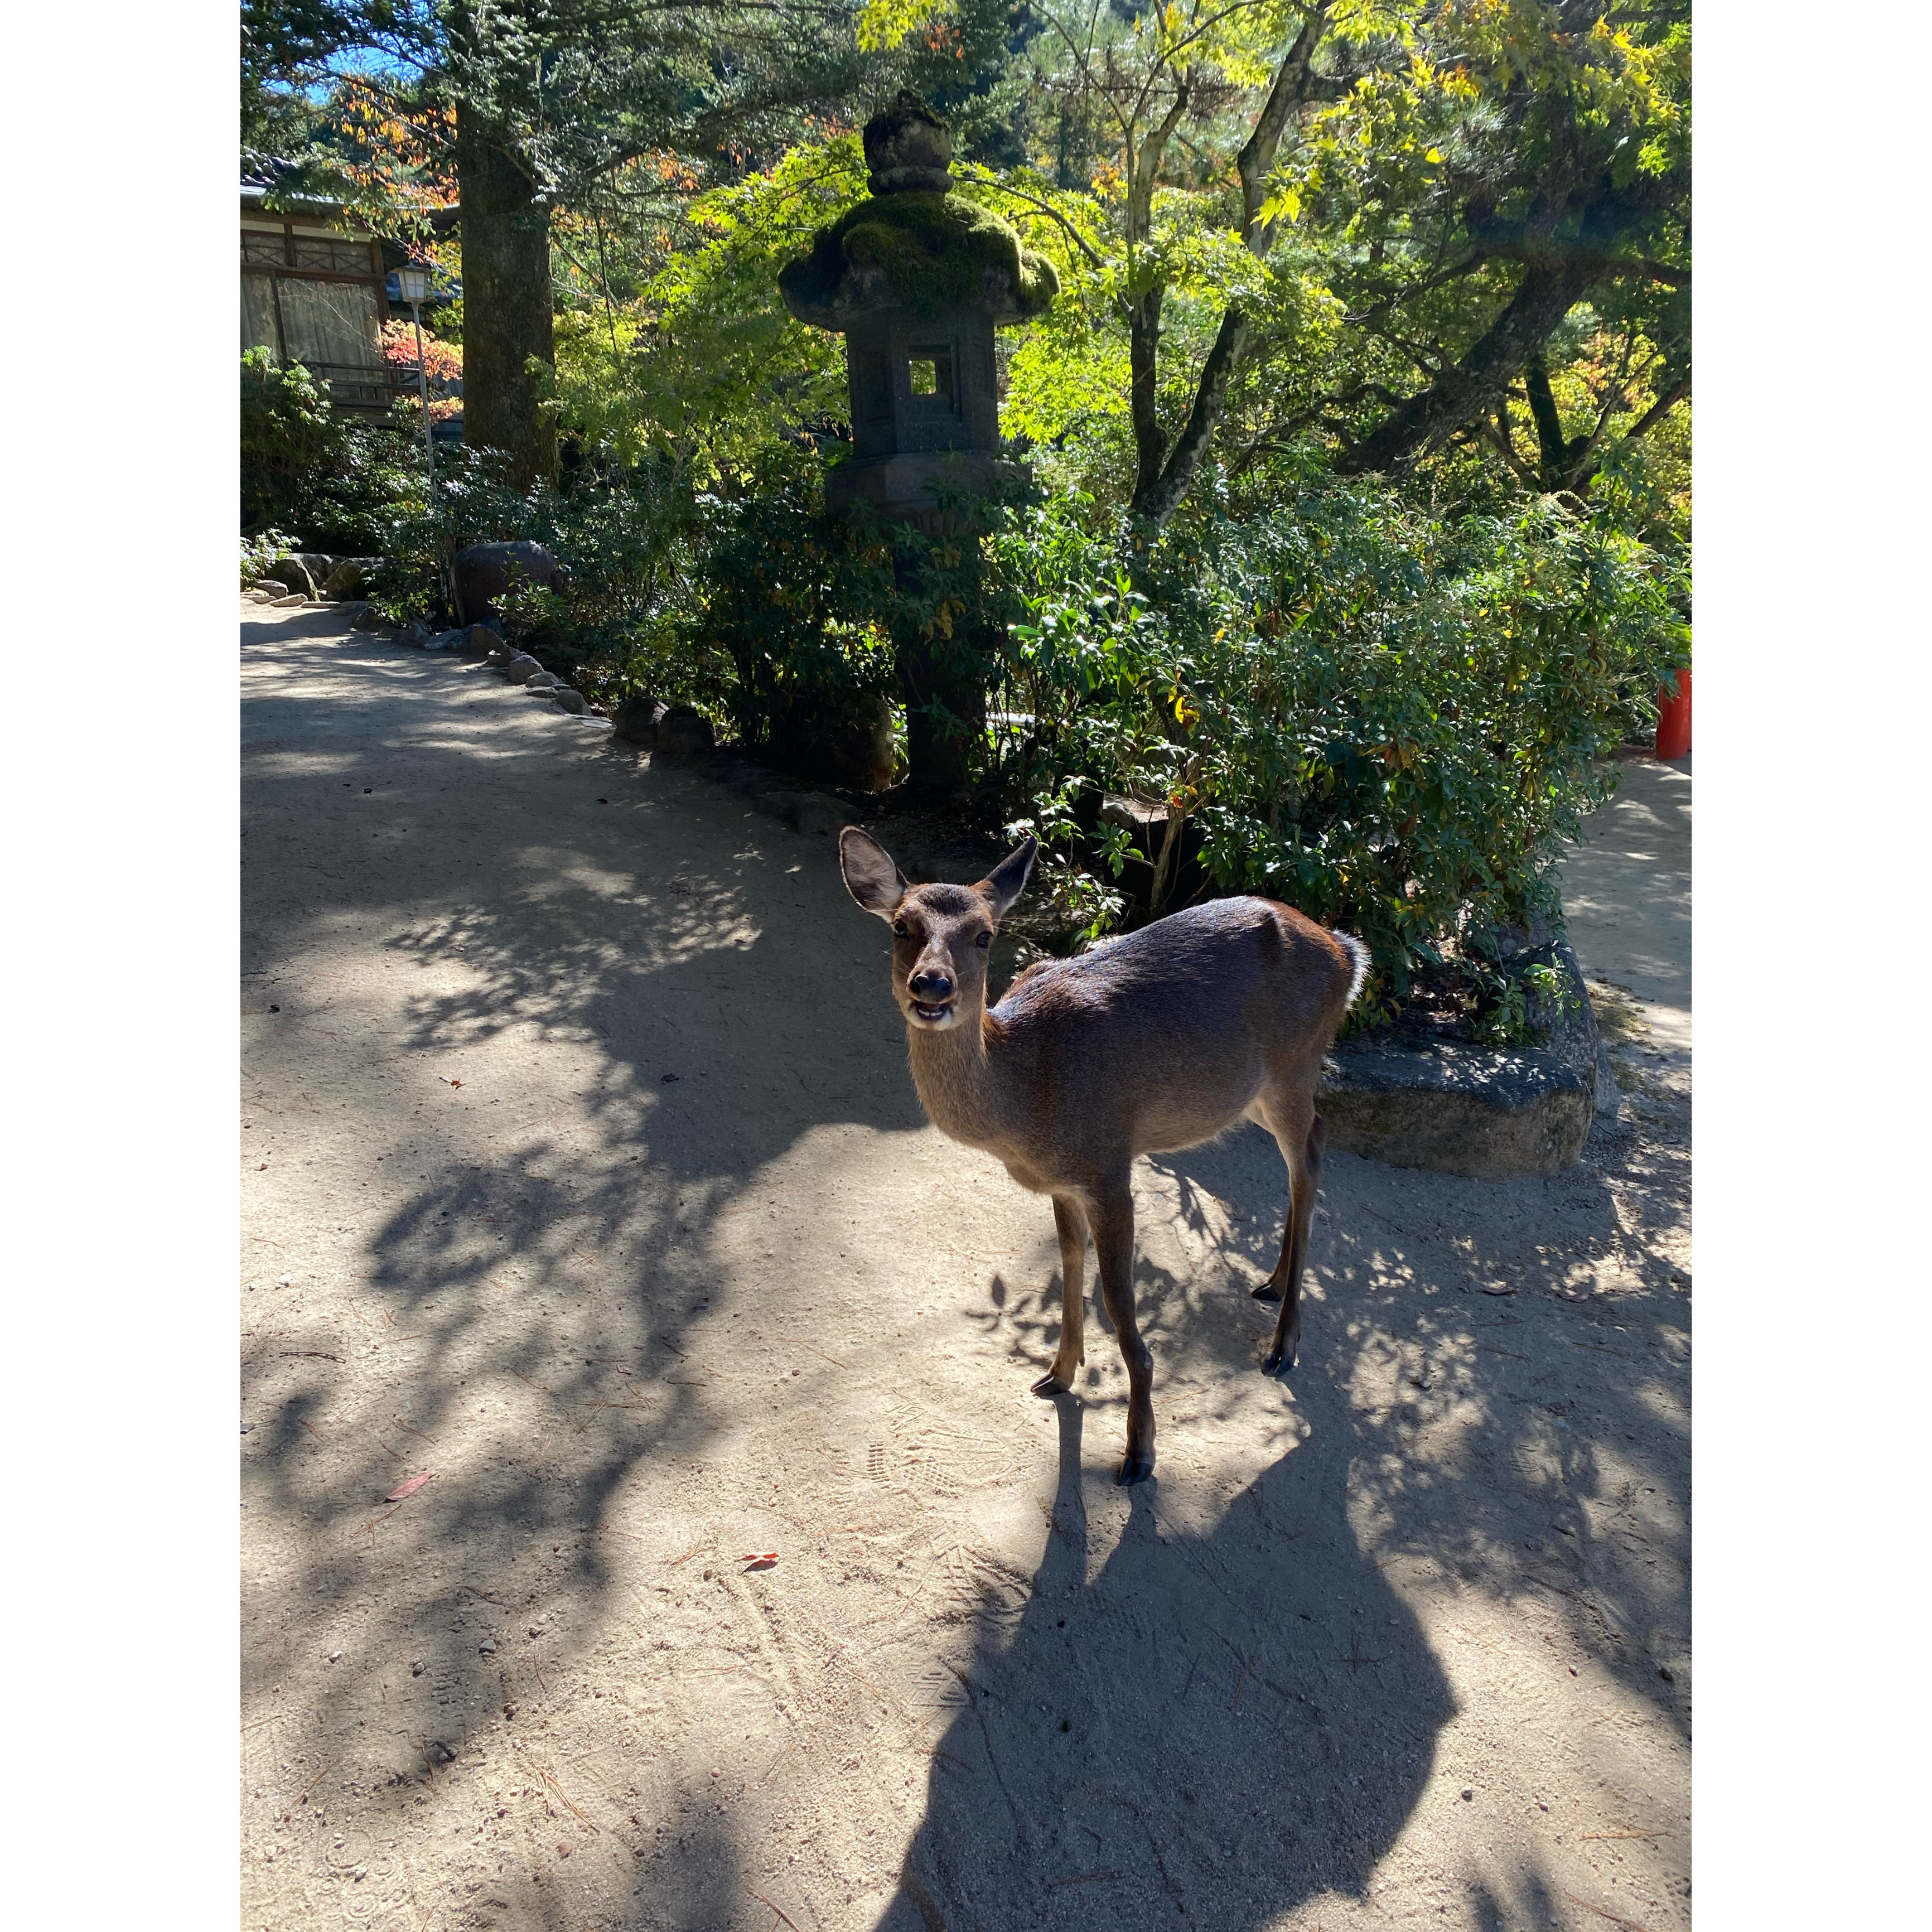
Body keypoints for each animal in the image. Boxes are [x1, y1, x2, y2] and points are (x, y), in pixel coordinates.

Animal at [838, 827, 1368, 1476]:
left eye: (985, 933)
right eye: (900, 926)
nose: (932, 984)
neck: (1027, 1095)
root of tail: (1347, 950)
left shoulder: (1110, 1164)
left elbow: (1118, 1300)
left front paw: (1139, 1452)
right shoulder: (1063, 1181)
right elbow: (1070, 1261)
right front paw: (1057, 1374)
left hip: (1295, 1065)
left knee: (1309, 1161)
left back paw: (1283, 1345)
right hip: (1257, 1090)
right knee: (1313, 1142)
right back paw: (1269, 1283)